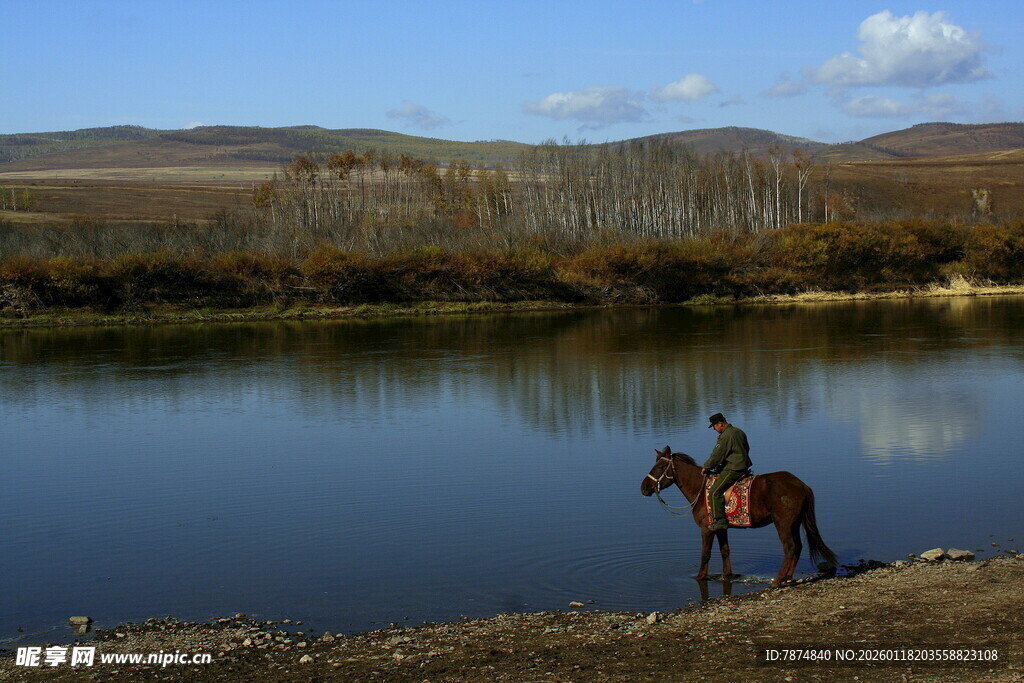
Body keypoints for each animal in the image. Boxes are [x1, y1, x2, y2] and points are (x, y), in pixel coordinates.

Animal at [640, 445, 837, 586]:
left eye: (660, 466)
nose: (643, 487)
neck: (700, 490)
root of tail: (802, 485)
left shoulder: (707, 529)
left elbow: (705, 553)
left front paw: (700, 576)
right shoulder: (720, 528)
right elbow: (725, 550)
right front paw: (726, 574)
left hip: (783, 523)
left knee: (789, 548)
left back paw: (778, 580)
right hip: (794, 523)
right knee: (797, 547)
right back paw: (788, 577)